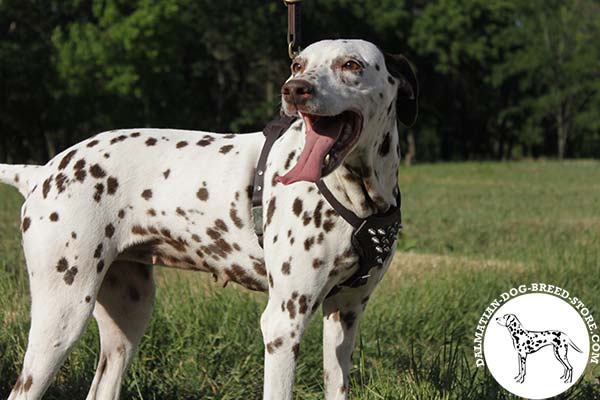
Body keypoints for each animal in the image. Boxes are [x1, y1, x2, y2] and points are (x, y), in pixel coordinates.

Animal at [0, 38, 418, 400]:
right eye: (298, 64)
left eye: (351, 64)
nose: (294, 89)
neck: (358, 197)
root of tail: (43, 171)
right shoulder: (284, 323)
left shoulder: (345, 317)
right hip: (63, 315)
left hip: (128, 315)